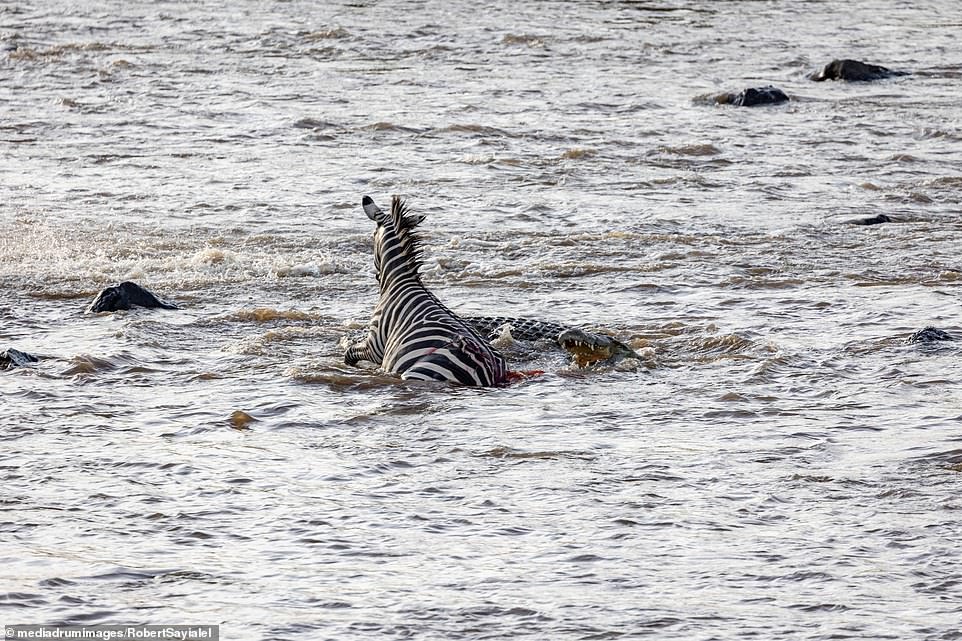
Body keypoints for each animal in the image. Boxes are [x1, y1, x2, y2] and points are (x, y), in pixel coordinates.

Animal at [344, 195, 510, 384]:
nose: (377, 276)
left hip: (421, 372)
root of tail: (491, 369)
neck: (397, 280)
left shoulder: (375, 344)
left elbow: (349, 353)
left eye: (373, 235)